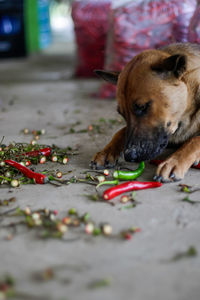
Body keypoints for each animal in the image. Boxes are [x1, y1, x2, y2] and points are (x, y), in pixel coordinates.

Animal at [91, 42, 200, 183]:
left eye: (143, 107)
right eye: (122, 114)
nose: (129, 156)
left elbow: (194, 140)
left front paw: (174, 162)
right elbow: (121, 131)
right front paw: (107, 151)